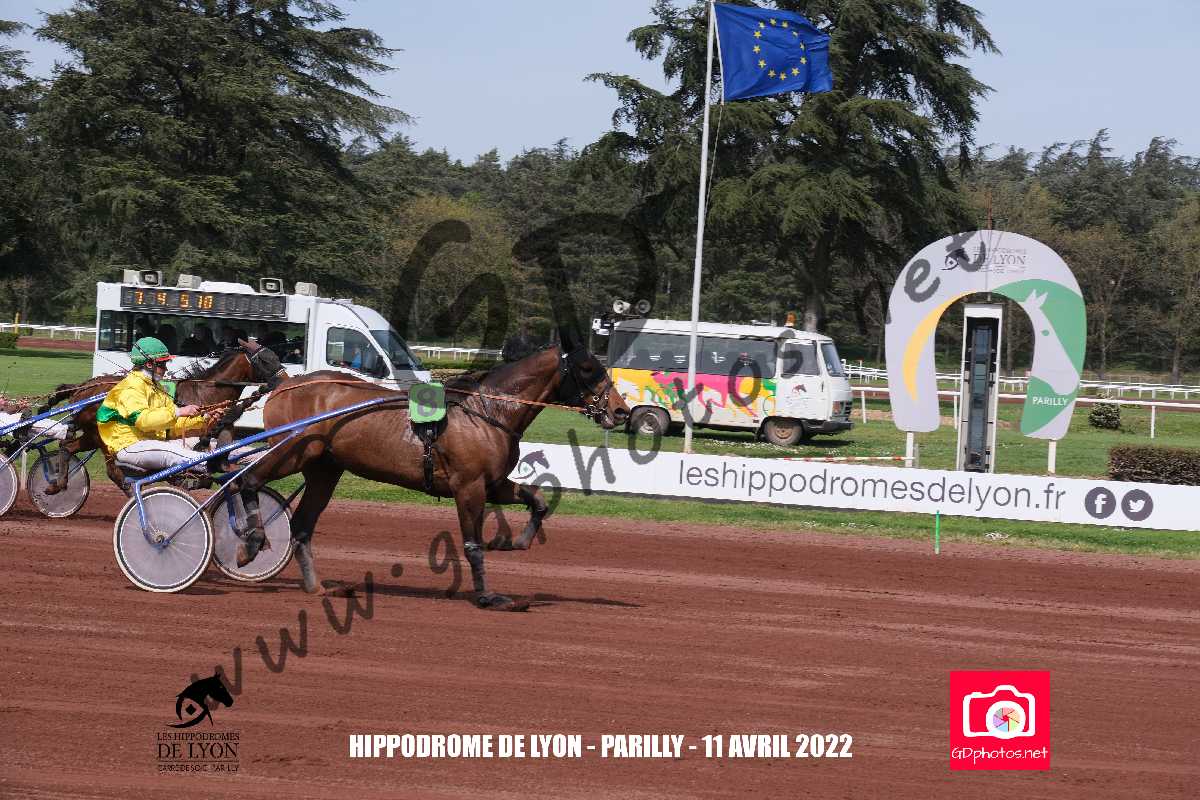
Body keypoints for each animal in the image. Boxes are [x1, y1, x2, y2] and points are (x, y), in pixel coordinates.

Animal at [37, 339, 284, 494]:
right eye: (265, 359)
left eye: (275, 355)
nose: (283, 378)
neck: (208, 394)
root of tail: (83, 387)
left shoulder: (222, 429)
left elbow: (222, 460)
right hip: (105, 438)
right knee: (112, 471)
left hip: (92, 435)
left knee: (68, 447)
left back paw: (57, 484)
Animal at [235, 329, 629, 611]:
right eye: (588, 368)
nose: (621, 410)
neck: (486, 413)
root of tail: (287, 382)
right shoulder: (468, 486)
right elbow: (471, 544)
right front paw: (487, 596)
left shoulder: (492, 483)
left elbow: (537, 499)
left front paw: (514, 541)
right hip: (292, 451)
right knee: (249, 480)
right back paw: (250, 544)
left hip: (324, 470)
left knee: (302, 526)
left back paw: (316, 587)